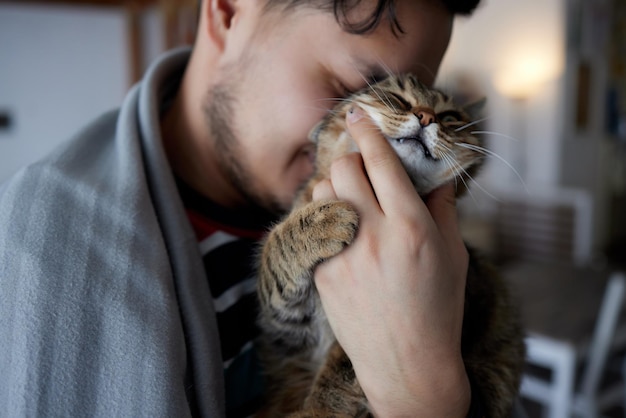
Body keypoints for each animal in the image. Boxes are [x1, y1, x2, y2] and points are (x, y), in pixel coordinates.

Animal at [254, 73, 520, 416]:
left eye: (450, 117)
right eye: (398, 99)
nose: (426, 116)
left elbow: (343, 369)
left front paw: (317, 411)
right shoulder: (287, 330)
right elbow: (274, 252)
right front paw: (323, 220)